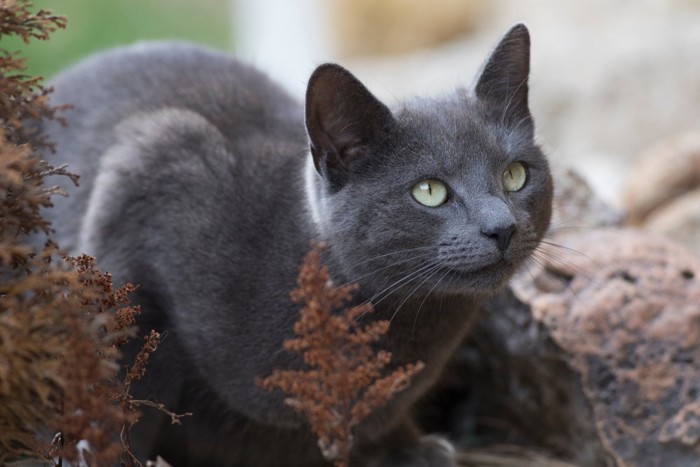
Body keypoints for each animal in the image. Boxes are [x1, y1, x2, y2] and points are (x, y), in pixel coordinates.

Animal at [38, 24, 552, 467]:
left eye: (515, 175)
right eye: (430, 191)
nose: (502, 227)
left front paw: (407, 447)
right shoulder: (147, 178)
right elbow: (123, 399)